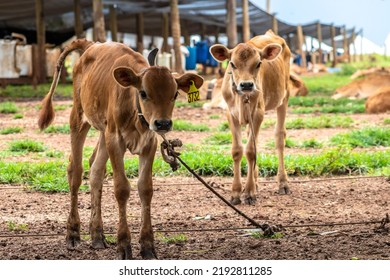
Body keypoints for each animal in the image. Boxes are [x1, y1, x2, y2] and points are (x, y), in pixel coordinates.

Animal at [38, 38, 204, 260]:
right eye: (143, 93)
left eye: (175, 93)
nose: (163, 123)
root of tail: (91, 45)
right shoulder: (115, 141)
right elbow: (122, 188)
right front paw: (124, 244)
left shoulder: (148, 143)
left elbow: (145, 188)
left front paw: (147, 246)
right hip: (79, 118)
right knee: (75, 171)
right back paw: (73, 233)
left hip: (103, 131)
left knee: (95, 170)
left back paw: (97, 234)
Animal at [210, 30, 292, 205]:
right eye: (232, 64)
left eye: (258, 63)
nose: (246, 85)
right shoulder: (231, 114)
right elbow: (237, 150)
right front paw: (236, 192)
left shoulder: (258, 113)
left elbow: (250, 151)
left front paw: (248, 193)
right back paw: (255, 181)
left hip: (284, 97)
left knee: (279, 137)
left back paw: (282, 183)